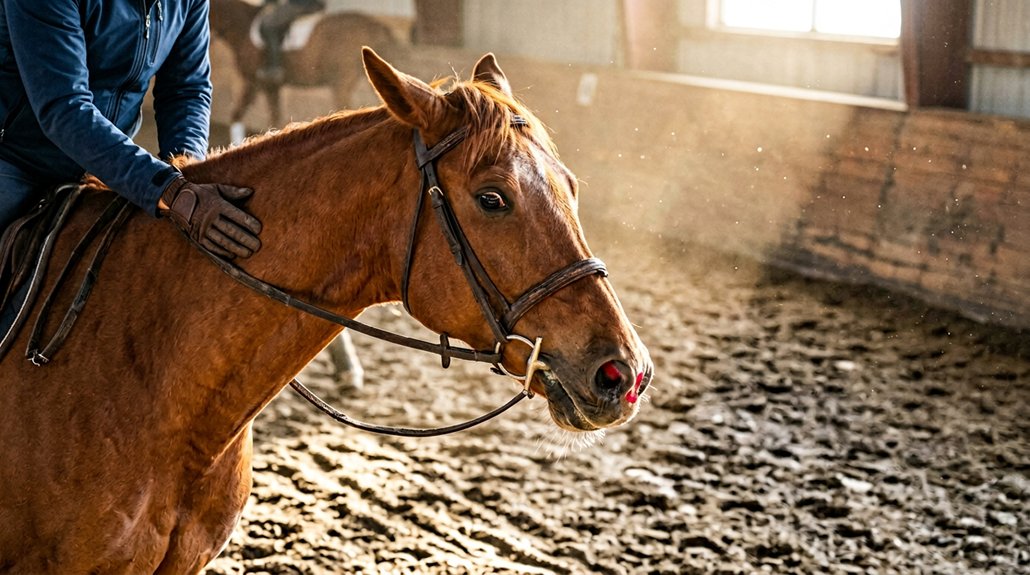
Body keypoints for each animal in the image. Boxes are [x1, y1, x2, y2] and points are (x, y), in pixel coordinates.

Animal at [208, 0, 404, 141]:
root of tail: (376, 27)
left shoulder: (258, 83)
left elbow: (252, 115)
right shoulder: (265, 85)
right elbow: (255, 116)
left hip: (341, 81)